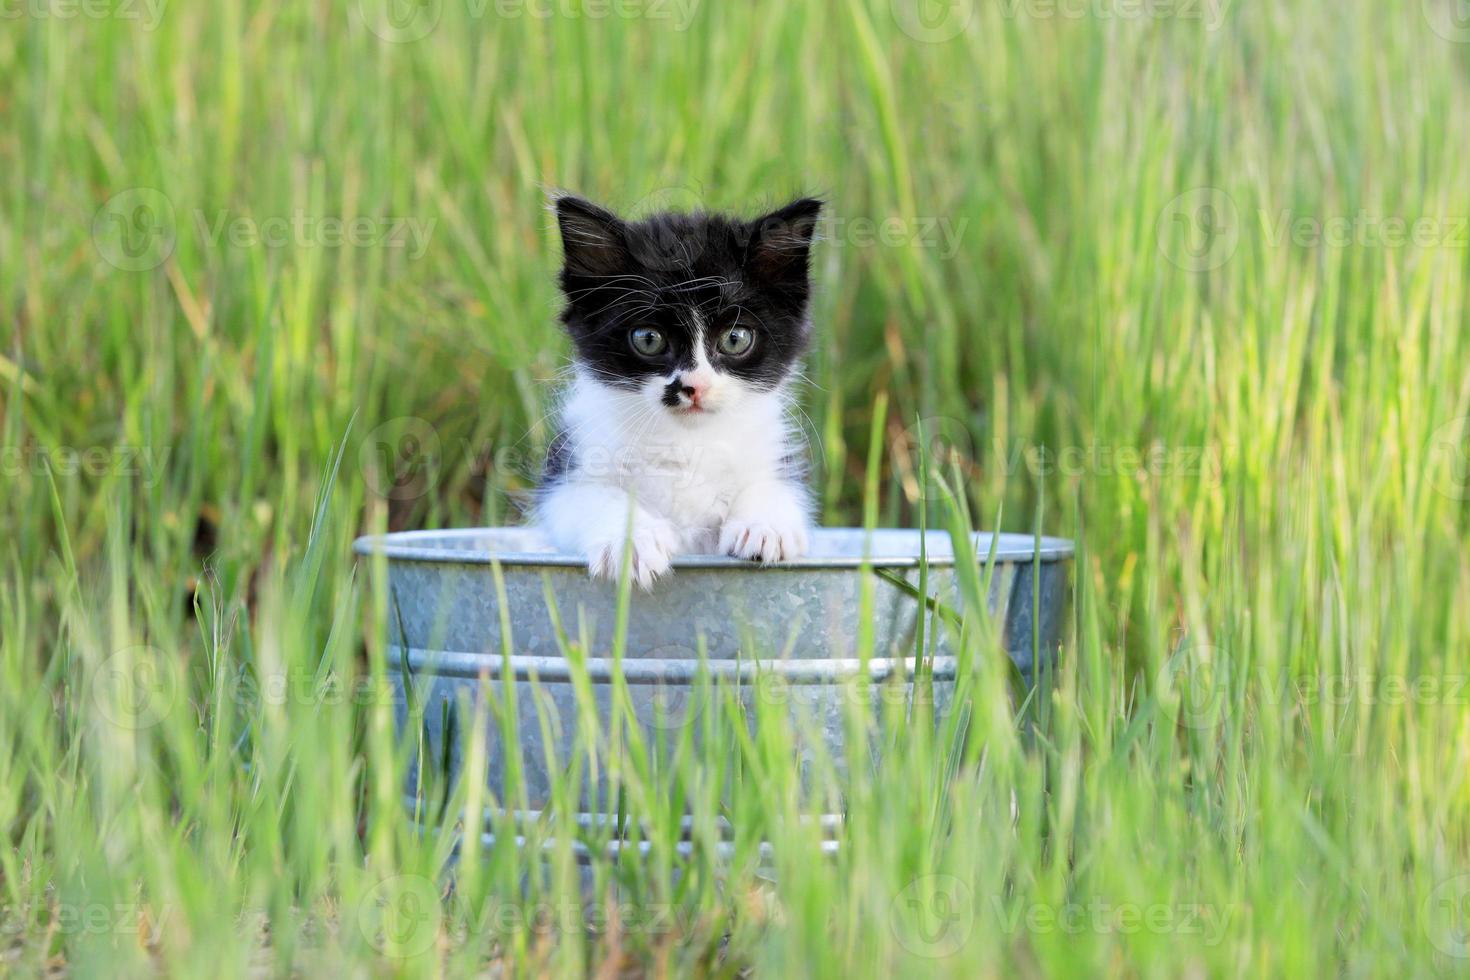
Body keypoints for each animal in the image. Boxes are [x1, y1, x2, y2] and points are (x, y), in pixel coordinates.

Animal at [538, 193, 829, 587]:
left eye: (735, 339)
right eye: (648, 339)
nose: (695, 386)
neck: (687, 442)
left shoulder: (772, 452)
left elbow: (773, 486)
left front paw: (764, 525)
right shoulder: (571, 470)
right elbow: (589, 497)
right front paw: (633, 541)